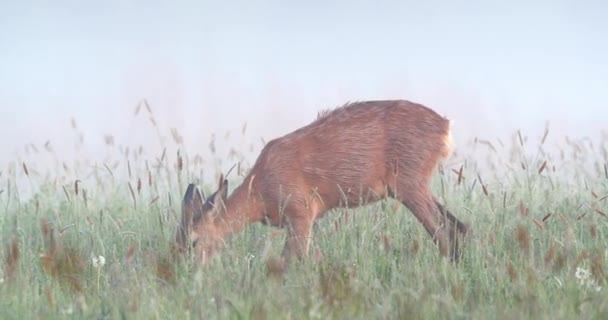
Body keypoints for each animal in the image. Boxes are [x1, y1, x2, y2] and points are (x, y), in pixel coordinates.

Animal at [176, 99, 470, 264]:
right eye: (175, 239)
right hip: (415, 186)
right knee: (460, 227)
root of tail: (445, 126)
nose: (180, 271)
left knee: (444, 233)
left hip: (409, 183)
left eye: (194, 241)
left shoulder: (300, 211)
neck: (260, 193)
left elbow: (291, 261)